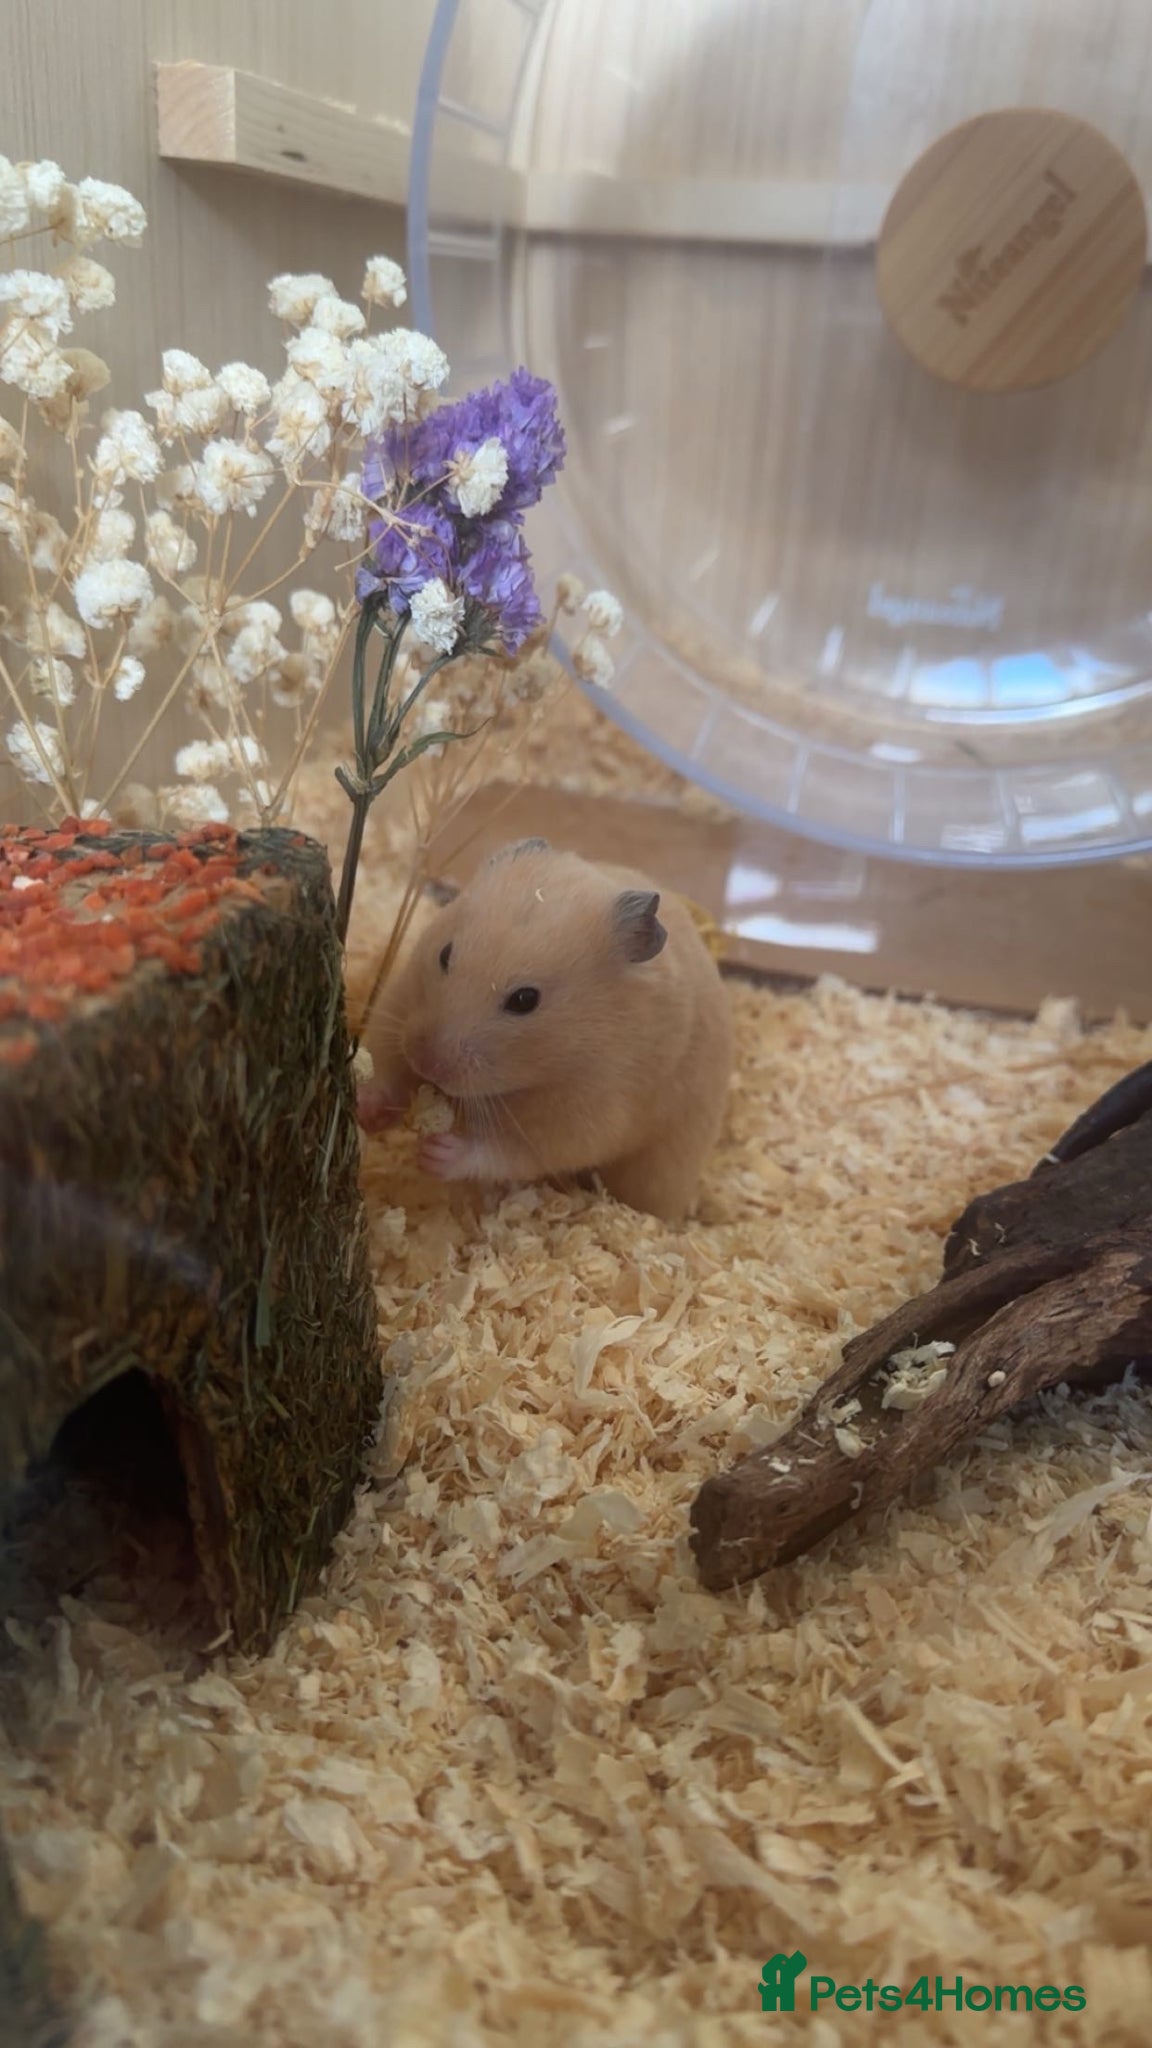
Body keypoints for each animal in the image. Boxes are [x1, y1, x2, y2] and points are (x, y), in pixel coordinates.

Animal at [358, 838, 732, 1221]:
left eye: (525, 1000)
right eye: (445, 954)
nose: (426, 1063)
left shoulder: (585, 1112)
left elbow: (511, 1150)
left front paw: (437, 1153)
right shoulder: (400, 1000)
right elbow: (387, 1068)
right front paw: (364, 1107)